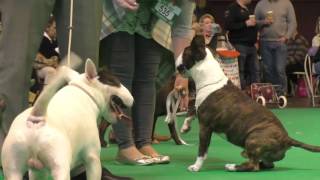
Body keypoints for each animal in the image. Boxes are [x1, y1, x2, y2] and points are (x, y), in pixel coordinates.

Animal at [1, 56, 134, 179]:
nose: (132, 98)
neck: (85, 93)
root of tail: (37, 117)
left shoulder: (38, 171)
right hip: (60, 166)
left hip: (14, 169)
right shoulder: (93, 158)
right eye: (114, 82)